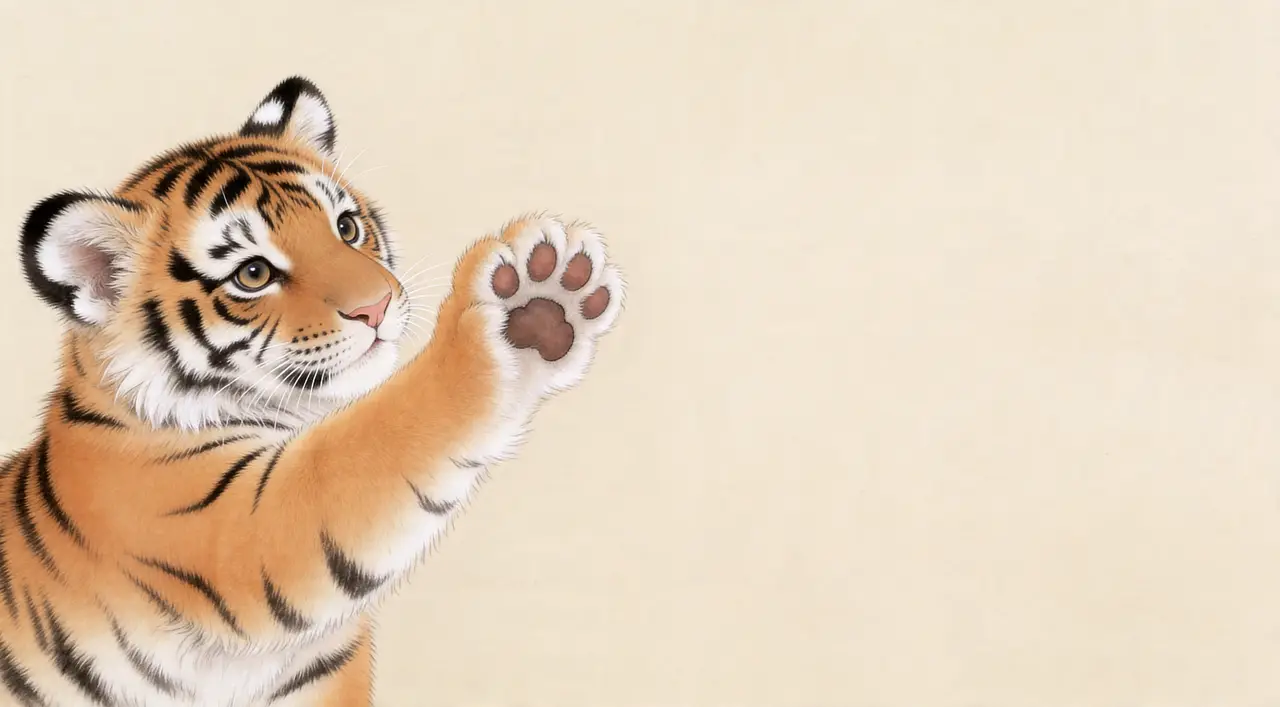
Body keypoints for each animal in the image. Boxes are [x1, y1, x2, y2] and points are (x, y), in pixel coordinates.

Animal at [0, 76, 626, 706]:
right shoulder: (234, 524)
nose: (377, 306)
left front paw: (551, 310)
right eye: (253, 274)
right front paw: (532, 297)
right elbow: (390, 433)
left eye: (346, 228)